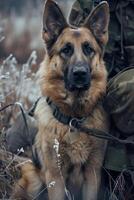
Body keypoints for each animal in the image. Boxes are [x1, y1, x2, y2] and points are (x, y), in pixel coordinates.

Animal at [12, 0, 109, 199]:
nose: (80, 74)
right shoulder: (55, 177)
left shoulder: (92, 175)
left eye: (89, 49)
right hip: (33, 181)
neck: (74, 118)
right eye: (66, 50)